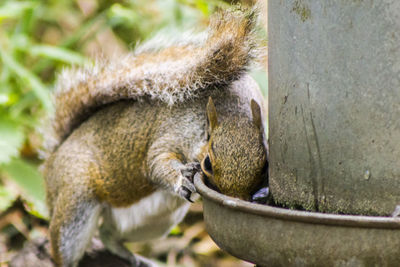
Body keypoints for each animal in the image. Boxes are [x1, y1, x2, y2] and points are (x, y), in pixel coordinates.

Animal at [40, 6, 268, 267]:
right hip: (75, 201)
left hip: (155, 223)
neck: (231, 111)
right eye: (207, 164)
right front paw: (181, 176)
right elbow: (156, 163)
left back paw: (137, 258)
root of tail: (54, 157)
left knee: (108, 234)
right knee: (64, 246)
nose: (237, 200)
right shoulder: (171, 132)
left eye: (265, 165)